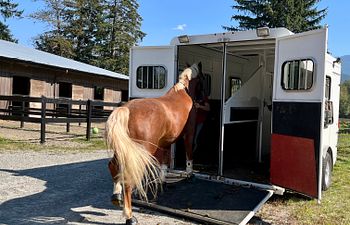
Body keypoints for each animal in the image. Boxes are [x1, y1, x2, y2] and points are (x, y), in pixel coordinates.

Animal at [104, 62, 200, 224]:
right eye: (205, 78)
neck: (182, 93)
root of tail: (126, 109)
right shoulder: (189, 134)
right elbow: (189, 153)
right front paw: (190, 174)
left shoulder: (165, 142)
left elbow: (164, 162)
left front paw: (163, 180)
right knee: (128, 178)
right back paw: (130, 217)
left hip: (124, 151)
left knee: (113, 166)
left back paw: (116, 197)